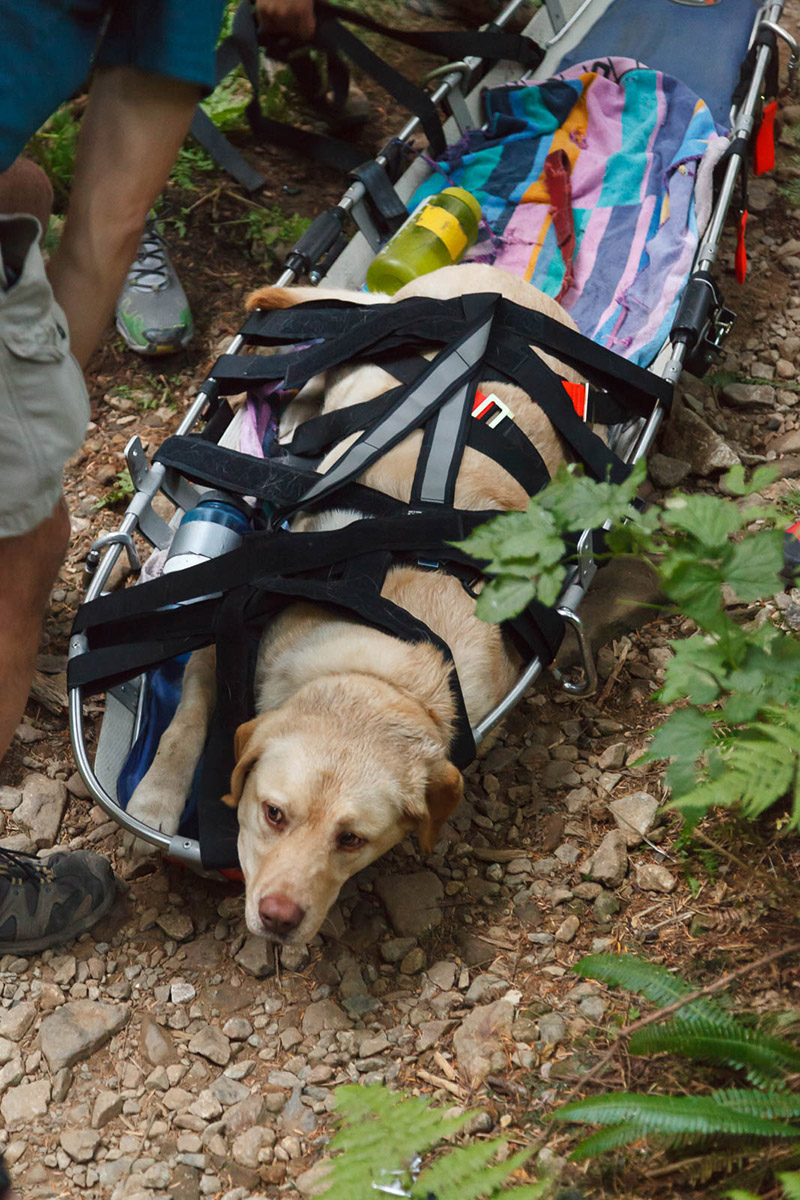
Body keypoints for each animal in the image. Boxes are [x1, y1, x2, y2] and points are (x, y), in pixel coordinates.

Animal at [125, 262, 587, 945]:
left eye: (353, 840)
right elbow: (185, 724)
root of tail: (505, 282)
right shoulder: (224, 636)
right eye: (274, 814)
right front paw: (156, 797)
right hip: (364, 354)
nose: (279, 919)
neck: (381, 667)